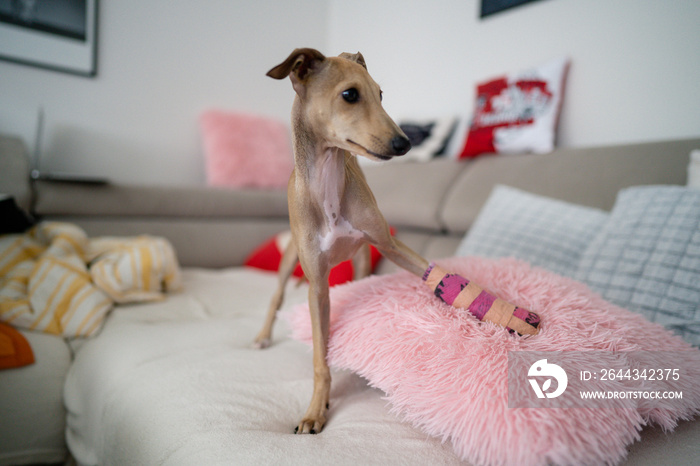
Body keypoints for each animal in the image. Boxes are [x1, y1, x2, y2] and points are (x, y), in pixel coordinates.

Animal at [254, 47, 540, 434]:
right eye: (349, 94)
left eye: (381, 94)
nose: (405, 144)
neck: (330, 184)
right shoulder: (317, 287)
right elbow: (319, 357)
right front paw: (315, 410)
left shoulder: (389, 245)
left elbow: (447, 278)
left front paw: (507, 311)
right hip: (292, 259)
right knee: (277, 295)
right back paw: (263, 335)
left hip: (361, 256)